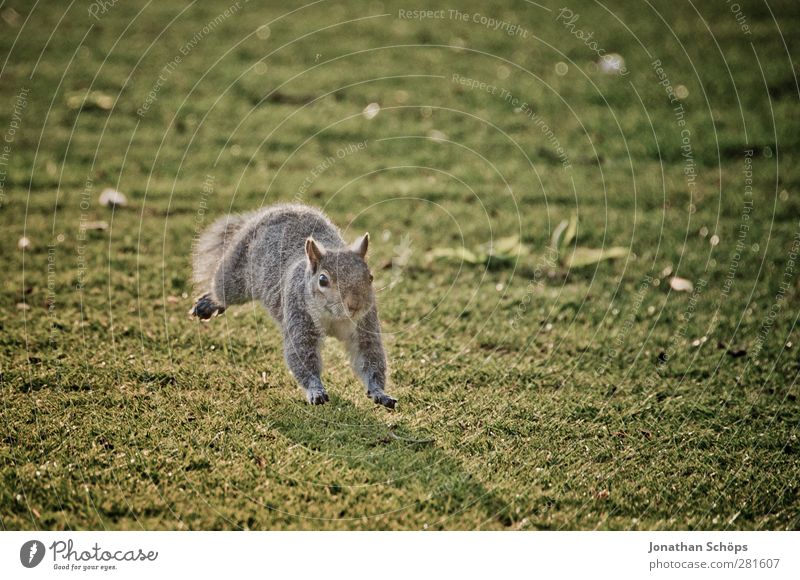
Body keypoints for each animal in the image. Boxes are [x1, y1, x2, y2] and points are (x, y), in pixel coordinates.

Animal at [191, 203, 396, 408]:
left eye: (370, 277)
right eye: (323, 280)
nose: (355, 305)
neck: (335, 317)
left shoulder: (364, 325)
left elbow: (370, 354)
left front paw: (379, 391)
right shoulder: (299, 314)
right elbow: (301, 353)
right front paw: (316, 389)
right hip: (236, 274)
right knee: (222, 290)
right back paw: (210, 303)